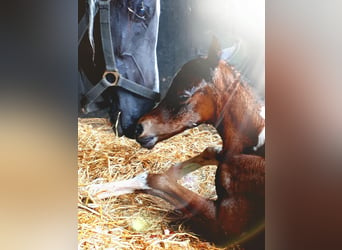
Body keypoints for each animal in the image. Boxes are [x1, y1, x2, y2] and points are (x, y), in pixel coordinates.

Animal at [88, 39, 264, 246]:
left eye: (183, 95)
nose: (139, 128)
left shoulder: (225, 228)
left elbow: (154, 179)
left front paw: (93, 189)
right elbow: (210, 150)